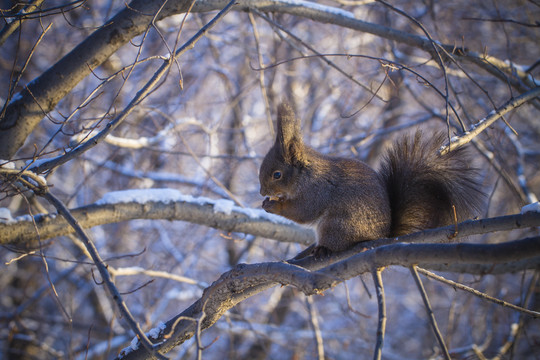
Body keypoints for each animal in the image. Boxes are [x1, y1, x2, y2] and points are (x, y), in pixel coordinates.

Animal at [258, 102, 486, 255]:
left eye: (277, 174)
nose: (261, 192)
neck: (306, 174)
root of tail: (381, 235)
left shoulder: (318, 191)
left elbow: (303, 211)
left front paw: (273, 205)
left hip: (337, 225)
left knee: (336, 242)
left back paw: (322, 249)